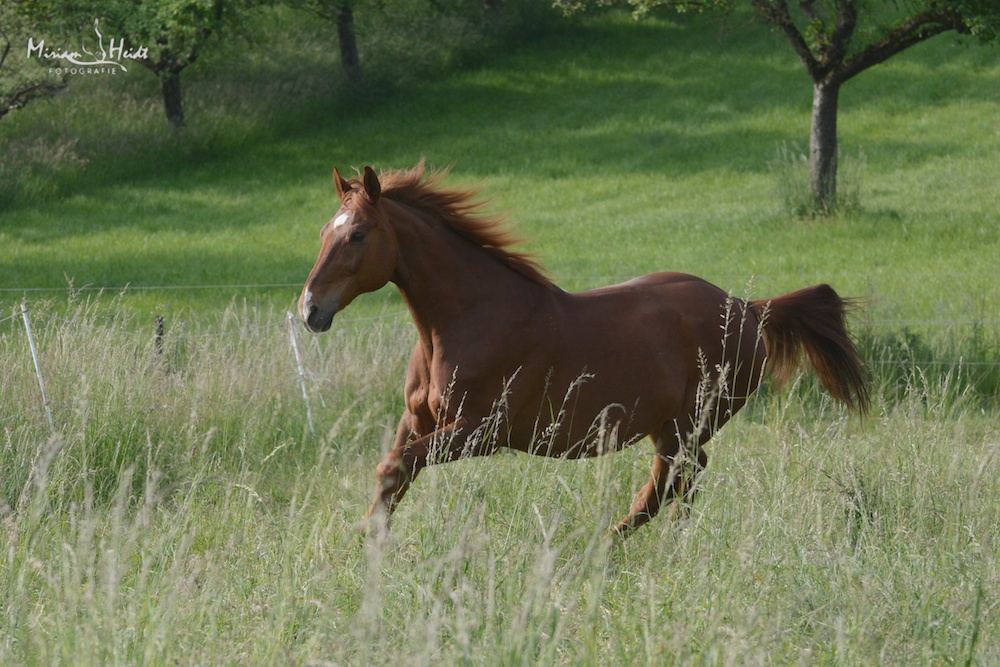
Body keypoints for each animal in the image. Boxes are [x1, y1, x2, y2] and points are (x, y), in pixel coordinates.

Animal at [298, 164, 868, 540]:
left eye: (358, 235)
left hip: (690, 421)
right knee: (681, 478)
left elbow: (396, 467)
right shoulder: (417, 419)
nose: (310, 310)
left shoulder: (483, 430)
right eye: (325, 231)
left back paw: (606, 545)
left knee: (672, 478)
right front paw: (366, 540)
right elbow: (391, 473)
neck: (466, 320)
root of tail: (749, 308)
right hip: (670, 425)